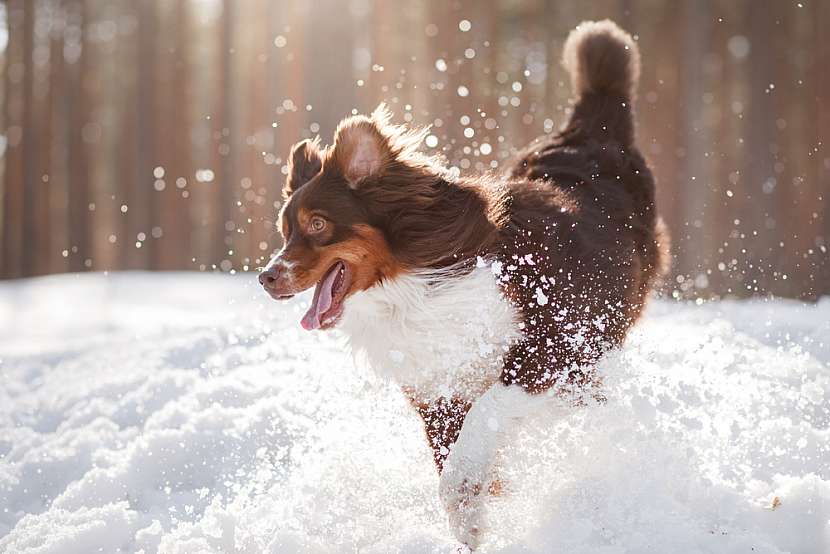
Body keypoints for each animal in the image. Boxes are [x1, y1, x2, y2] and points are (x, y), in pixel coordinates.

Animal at [260, 19, 668, 544]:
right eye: (284, 229)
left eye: (316, 224)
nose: (266, 277)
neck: (415, 286)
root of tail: (591, 127)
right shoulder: (438, 391)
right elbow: (453, 456)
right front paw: (472, 516)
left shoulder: (550, 347)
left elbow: (480, 428)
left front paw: (469, 500)